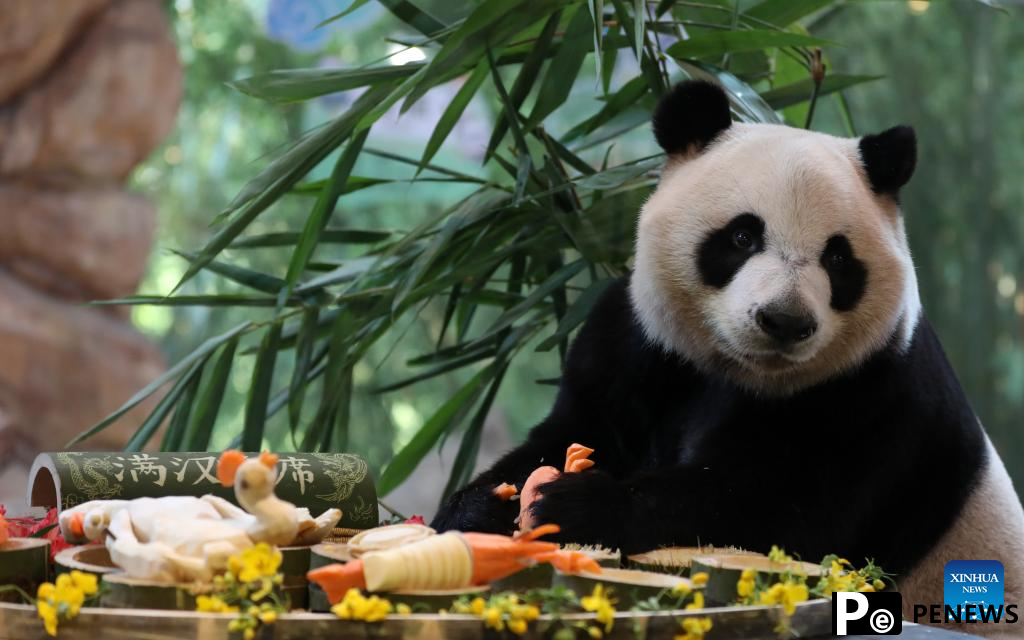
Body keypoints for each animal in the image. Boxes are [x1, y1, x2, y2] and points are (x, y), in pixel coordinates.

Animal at [432, 78, 1024, 630]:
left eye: (837, 258)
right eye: (742, 236)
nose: (785, 321)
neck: (740, 369)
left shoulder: (872, 394)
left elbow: (777, 512)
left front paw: (578, 505)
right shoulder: (637, 345)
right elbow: (572, 431)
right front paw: (482, 507)